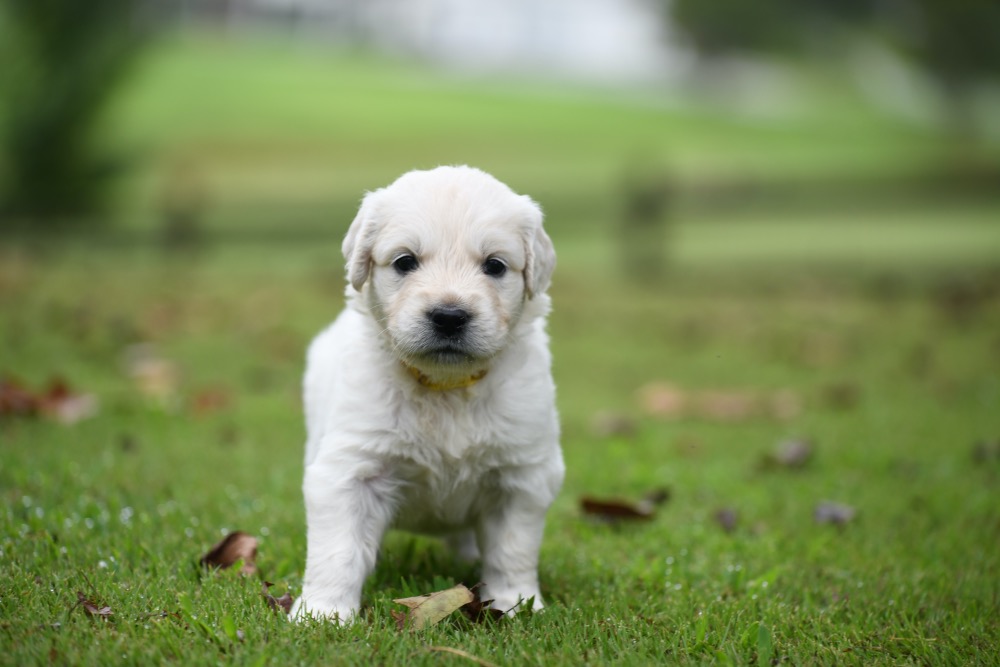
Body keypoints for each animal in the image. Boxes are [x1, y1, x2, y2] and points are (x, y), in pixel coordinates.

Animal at [292, 164, 568, 624]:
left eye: (495, 265)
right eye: (405, 261)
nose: (449, 316)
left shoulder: (522, 474)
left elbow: (511, 550)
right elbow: (338, 550)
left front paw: (515, 604)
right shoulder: (350, 470)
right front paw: (323, 613)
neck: (446, 386)